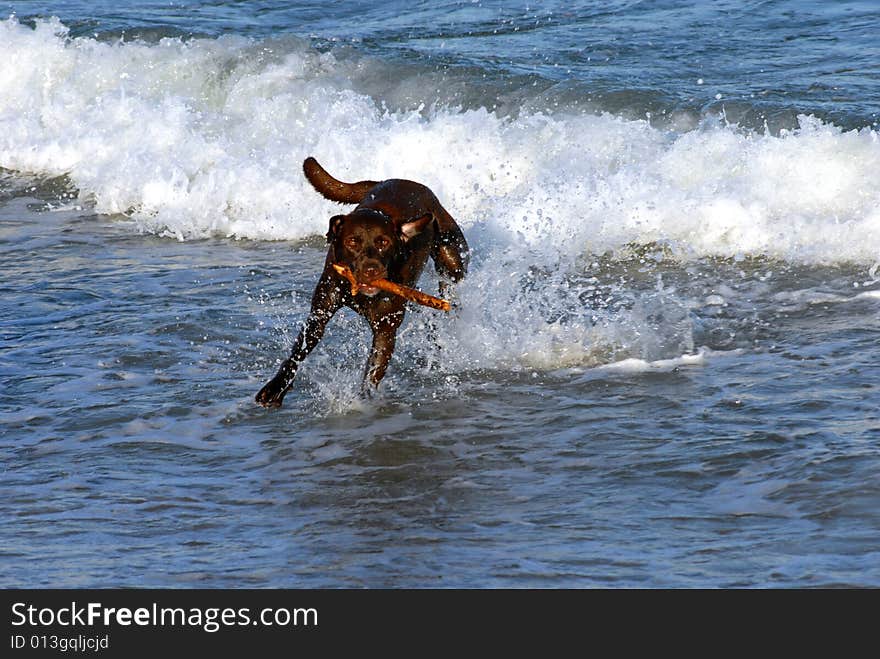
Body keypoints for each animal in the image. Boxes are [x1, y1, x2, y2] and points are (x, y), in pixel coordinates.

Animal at [256, 159, 468, 408]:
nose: (371, 270)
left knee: (449, 284)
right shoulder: (320, 312)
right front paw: (275, 388)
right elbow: (298, 352)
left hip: (451, 256)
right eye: (352, 241)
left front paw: (362, 401)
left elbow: (372, 372)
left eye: (384, 242)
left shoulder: (385, 329)